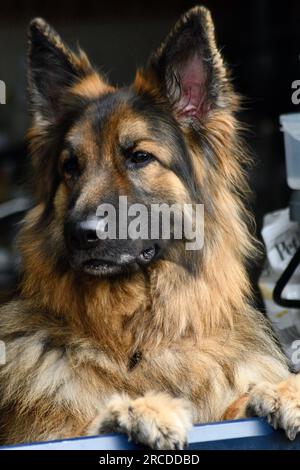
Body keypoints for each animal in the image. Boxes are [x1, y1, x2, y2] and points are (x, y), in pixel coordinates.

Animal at [0, 6, 300, 448]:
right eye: (71, 166)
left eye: (139, 157)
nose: (80, 234)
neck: (138, 335)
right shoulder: (47, 431)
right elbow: (89, 420)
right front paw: (142, 406)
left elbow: (235, 402)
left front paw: (284, 391)